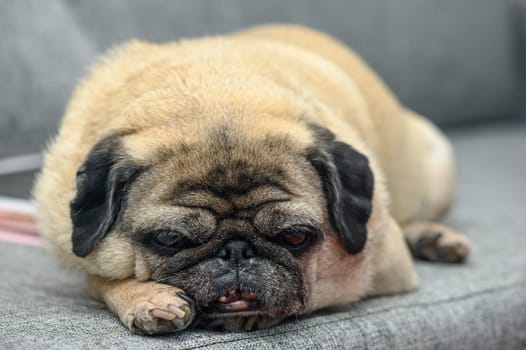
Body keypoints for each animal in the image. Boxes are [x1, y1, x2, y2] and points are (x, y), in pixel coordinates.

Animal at [33, 23, 472, 334]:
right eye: (170, 240)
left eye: (295, 237)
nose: (237, 251)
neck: (213, 93)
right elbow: (98, 279)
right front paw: (144, 297)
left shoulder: (380, 267)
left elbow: (311, 291)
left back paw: (434, 237)